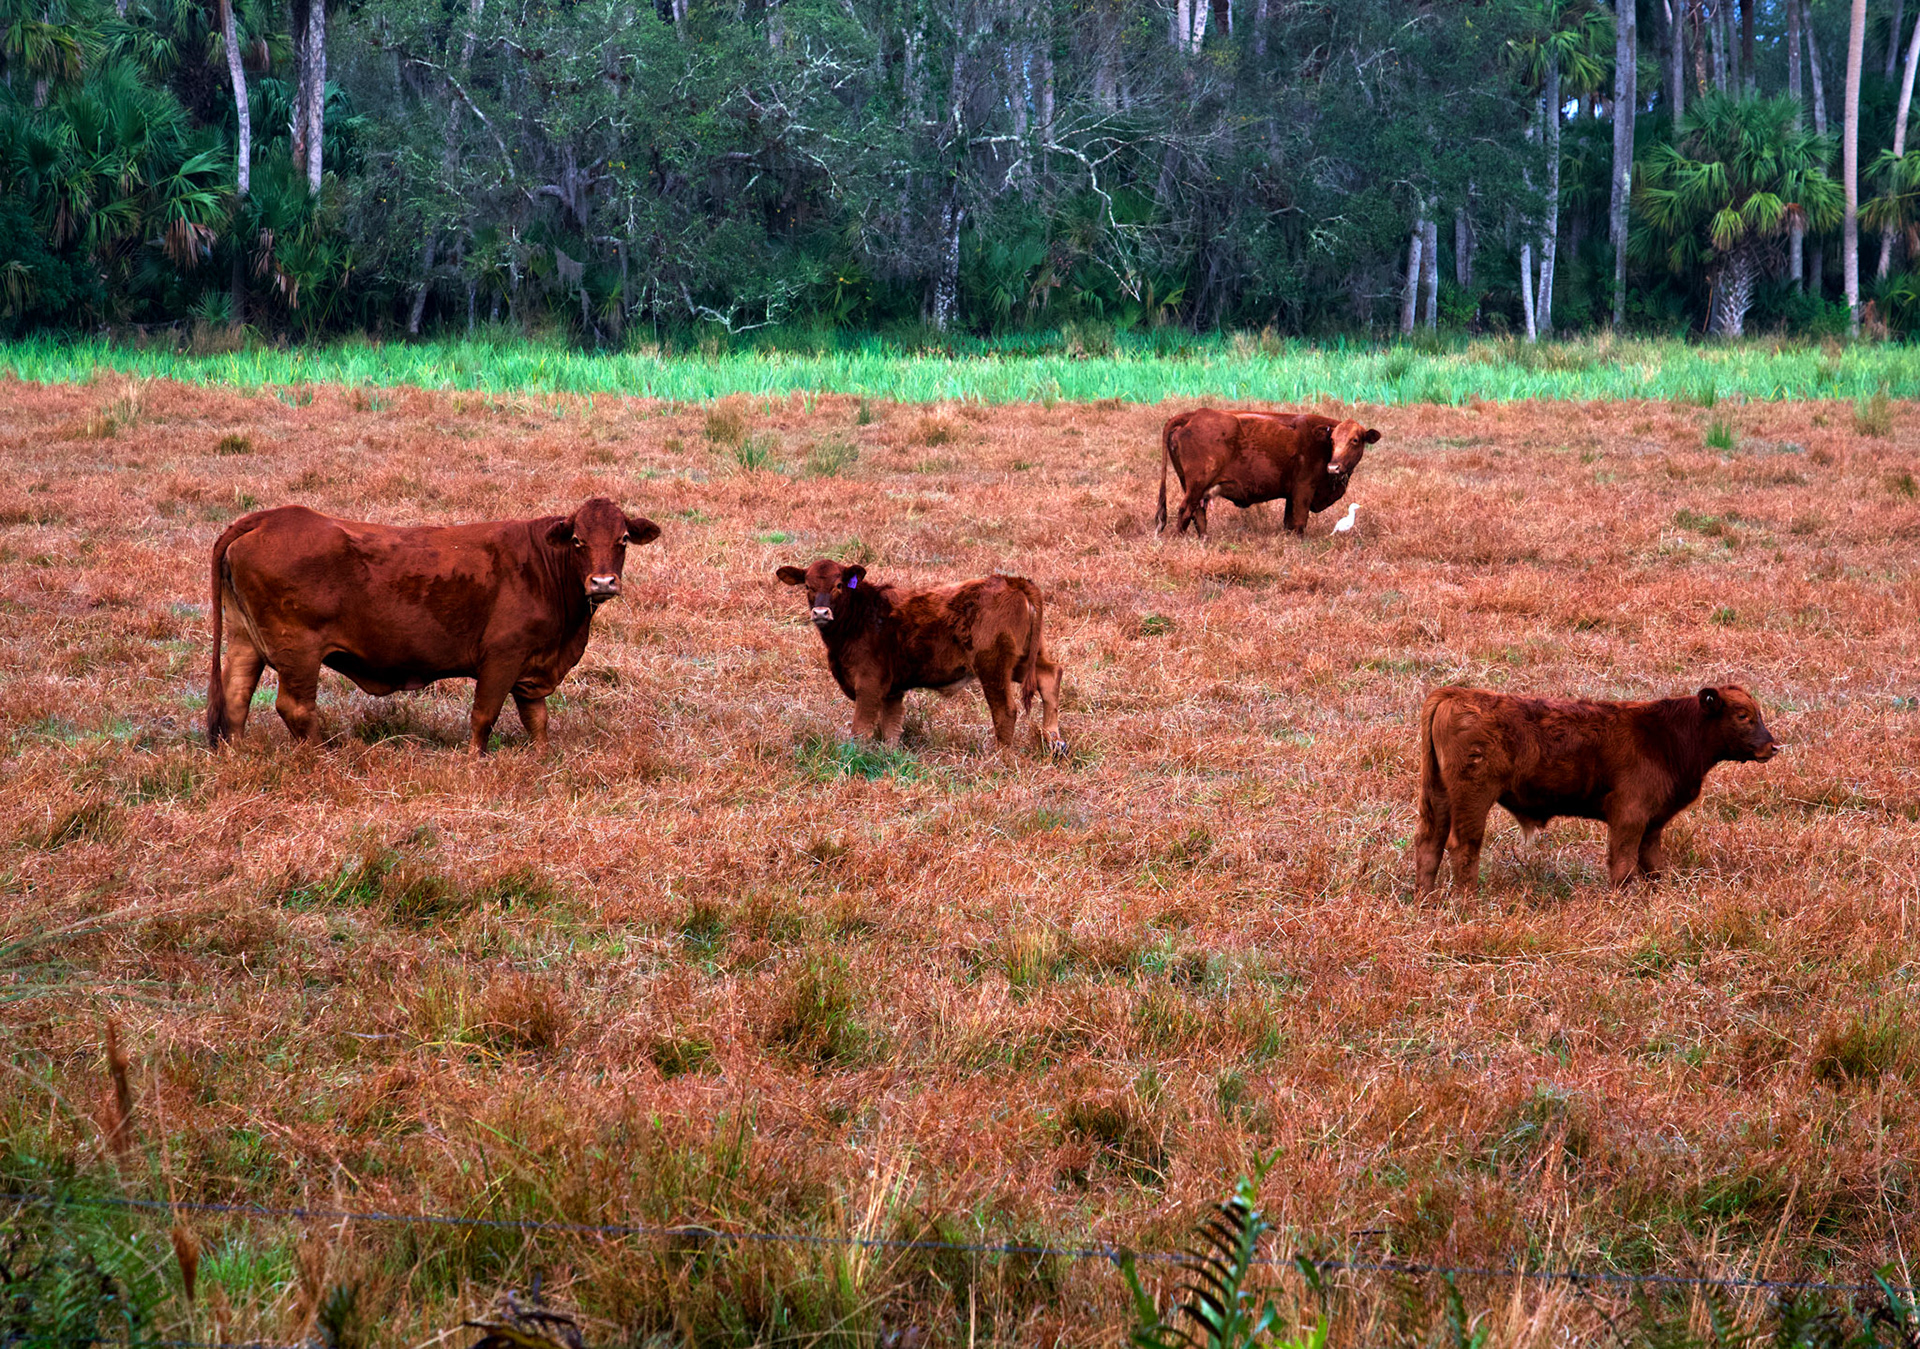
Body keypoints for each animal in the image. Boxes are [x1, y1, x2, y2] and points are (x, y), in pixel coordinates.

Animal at [206, 497, 661, 755]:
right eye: (579, 541)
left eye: (622, 539)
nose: (602, 582)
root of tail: (269, 518)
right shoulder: (502, 656)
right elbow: (484, 716)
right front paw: (475, 762)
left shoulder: (532, 666)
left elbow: (537, 719)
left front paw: (544, 758)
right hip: (297, 650)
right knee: (295, 707)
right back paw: (321, 758)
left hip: (245, 639)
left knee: (236, 696)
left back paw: (237, 756)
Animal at [774, 559, 1066, 759]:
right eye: (808, 586)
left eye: (838, 585)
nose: (821, 612)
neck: (861, 615)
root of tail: (1012, 581)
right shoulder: (891, 691)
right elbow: (891, 729)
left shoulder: (868, 684)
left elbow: (861, 729)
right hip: (1024, 659)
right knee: (1050, 676)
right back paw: (1054, 743)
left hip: (993, 665)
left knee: (1005, 710)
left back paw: (1000, 756)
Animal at [1155, 409, 1381, 538]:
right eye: (1332, 440)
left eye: (1355, 440)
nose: (1333, 467)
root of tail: (1193, 414)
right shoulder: (1303, 489)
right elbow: (1299, 523)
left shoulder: (1291, 495)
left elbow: (1289, 523)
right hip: (1197, 484)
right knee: (1185, 511)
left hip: (1196, 488)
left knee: (1198, 514)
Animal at [1413, 685, 1781, 895]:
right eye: (1743, 715)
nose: (1773, 746)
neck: (1665, 736)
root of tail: (1455, 694)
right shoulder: (1629, 815)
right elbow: (1623, 863)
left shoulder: (1653, 823)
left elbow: (1652, 865)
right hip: (1472, 797)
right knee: (1464, 846)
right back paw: (1467, 903)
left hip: (1437, 795)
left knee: (1429, 844)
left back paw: (1425, 901)